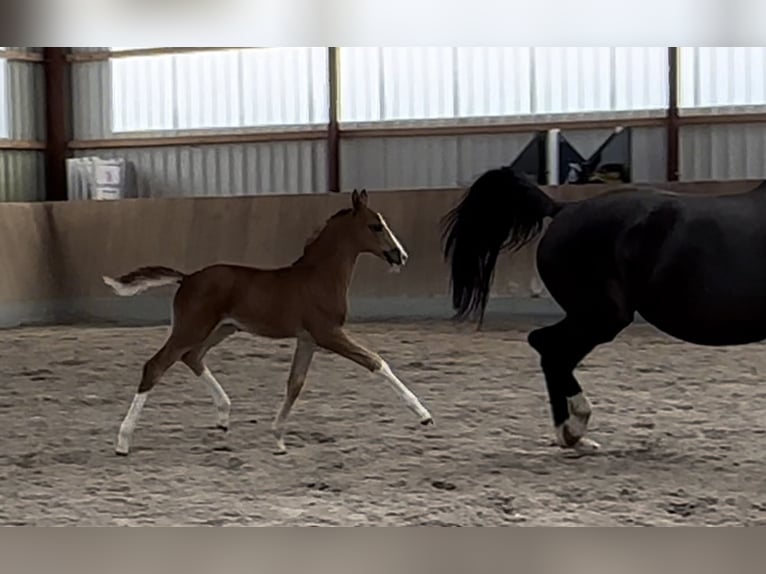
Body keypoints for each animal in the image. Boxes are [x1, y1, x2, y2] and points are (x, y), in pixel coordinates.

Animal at [104, 189, 433, 456]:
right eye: (375, 226)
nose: (401, 255)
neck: (319, 277)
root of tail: (187, 278)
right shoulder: (328, 334)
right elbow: (376, 362)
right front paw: (423, 415)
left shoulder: (307, 339)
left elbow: (295, 384)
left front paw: (278, 439)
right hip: (192, 328)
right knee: (156, 366)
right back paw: (123, 441)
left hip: (221, 329)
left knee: (192, 357)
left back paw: (224, 415)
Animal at [442, 165, 766, 453]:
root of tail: (564, 209)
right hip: (601, 316)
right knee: (549, 348)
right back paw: (574, 429)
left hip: (593, 317)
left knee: (549, 348)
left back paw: (571, 436)